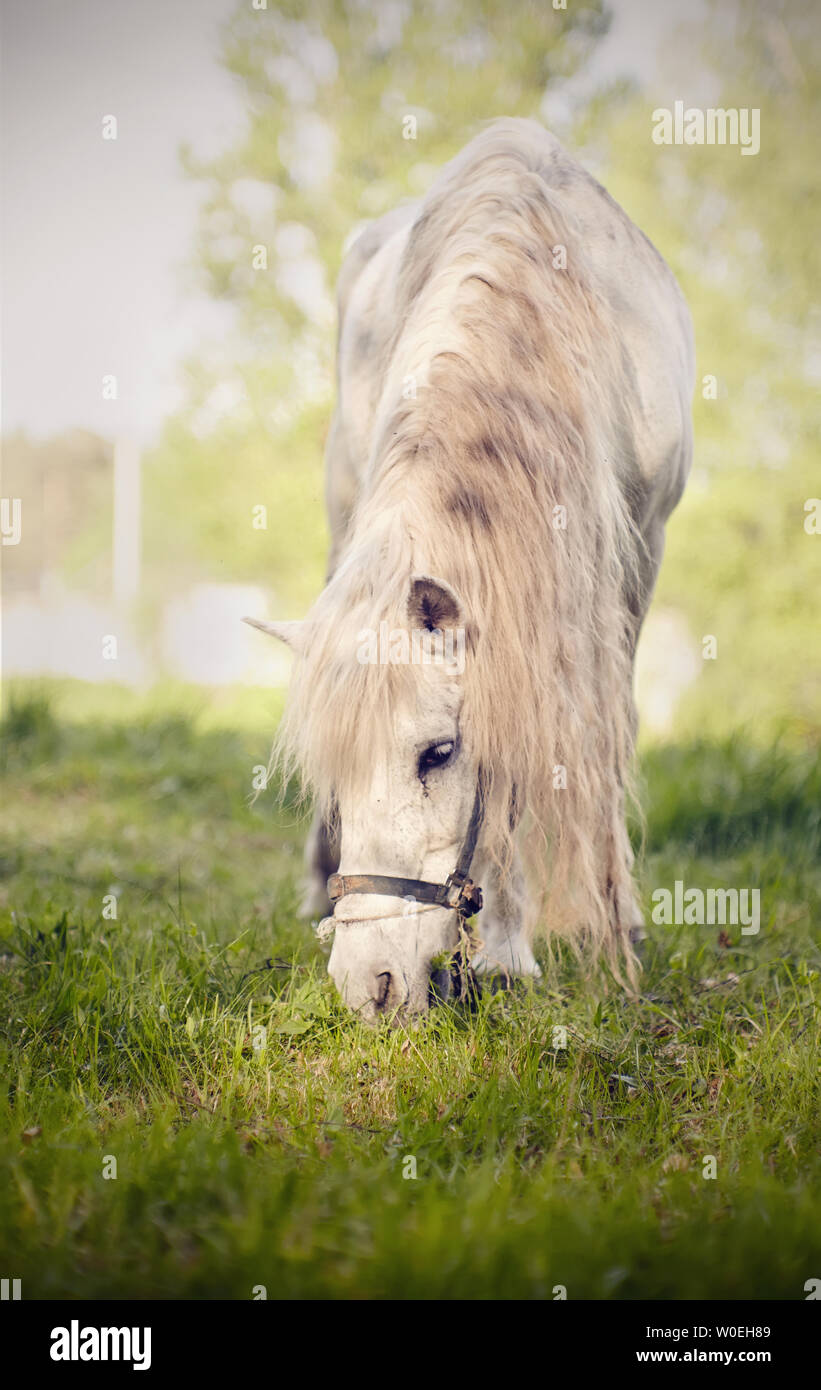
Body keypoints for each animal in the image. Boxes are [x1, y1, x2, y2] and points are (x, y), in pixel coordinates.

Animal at [247, 118, 694, 1021]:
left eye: (438, 753)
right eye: (329, 770)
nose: (367, 987)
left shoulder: (637, 552)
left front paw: (579, 932)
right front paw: (507, 948)